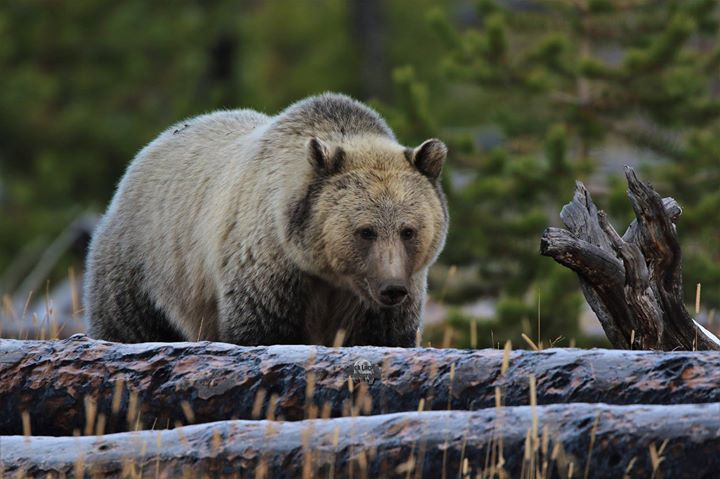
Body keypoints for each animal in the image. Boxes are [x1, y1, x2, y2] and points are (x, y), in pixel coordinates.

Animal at [84, 93, 448, 347]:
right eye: (365, 231)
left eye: (408, 230)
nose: (392, 288)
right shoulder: (269, 264)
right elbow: (265, 329)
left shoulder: (386, 294)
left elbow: (385, 335)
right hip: (147, 263)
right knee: (130, 323)